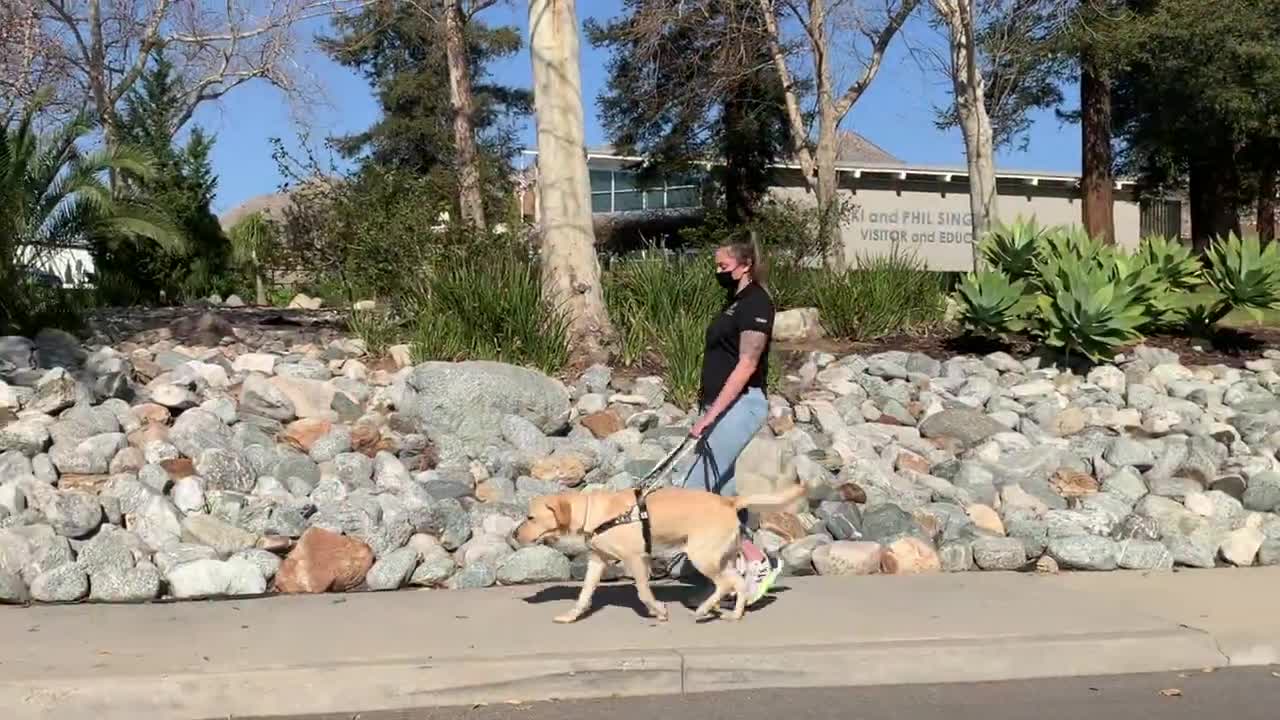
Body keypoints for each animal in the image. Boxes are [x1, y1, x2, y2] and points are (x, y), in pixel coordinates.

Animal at [509, 481, 798, 622]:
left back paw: (704, 609)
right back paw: (733, 614)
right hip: (720, 557)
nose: (513, 535)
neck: (595, 513)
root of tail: (729, 501)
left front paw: (658, 610)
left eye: (530, 517)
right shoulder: (598, 561)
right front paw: (572, 615)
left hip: (702, 556)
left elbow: (643, 592)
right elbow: (584, 593)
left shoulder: (636, 559)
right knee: (737, 583)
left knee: (726, 583)